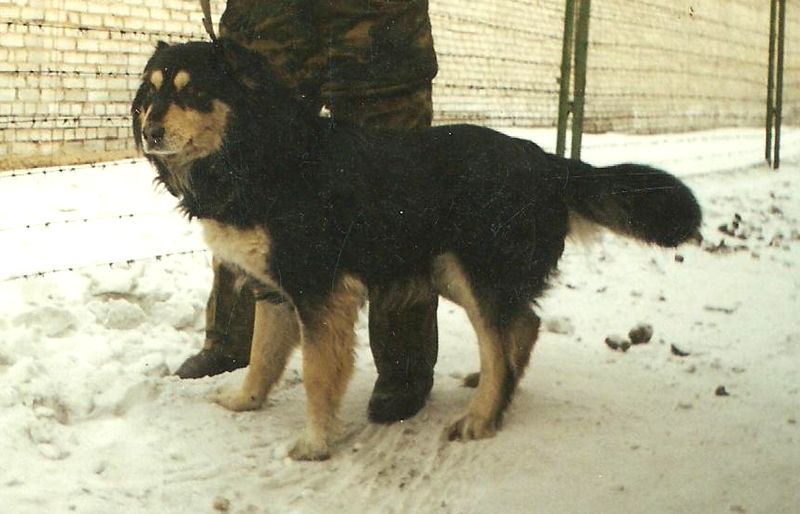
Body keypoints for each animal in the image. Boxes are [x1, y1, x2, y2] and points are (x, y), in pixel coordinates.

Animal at [131, 39, 700, 456]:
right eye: (151, 92)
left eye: (191, 92)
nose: (149, 130)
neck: (256, 151)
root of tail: (546, 161)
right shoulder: (274, 287)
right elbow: (262, 355)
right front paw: (245, 400)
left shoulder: (321, 291)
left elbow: (316, 374)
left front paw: (315, 442)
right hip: (451, 270)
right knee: (522, 325)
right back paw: (497, 390)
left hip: (477, 270)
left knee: (503, 335)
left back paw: (482, 418)